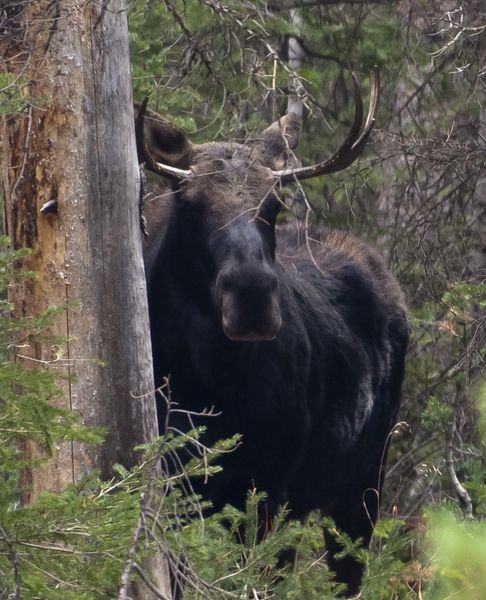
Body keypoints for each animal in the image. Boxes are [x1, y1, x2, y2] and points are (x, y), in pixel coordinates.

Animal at [135, 70, 408, 596]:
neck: (209, 383)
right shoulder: (176, 489)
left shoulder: (268, 490)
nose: (253, 296)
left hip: (363, 482)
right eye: (190, 203)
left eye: (274, 203)